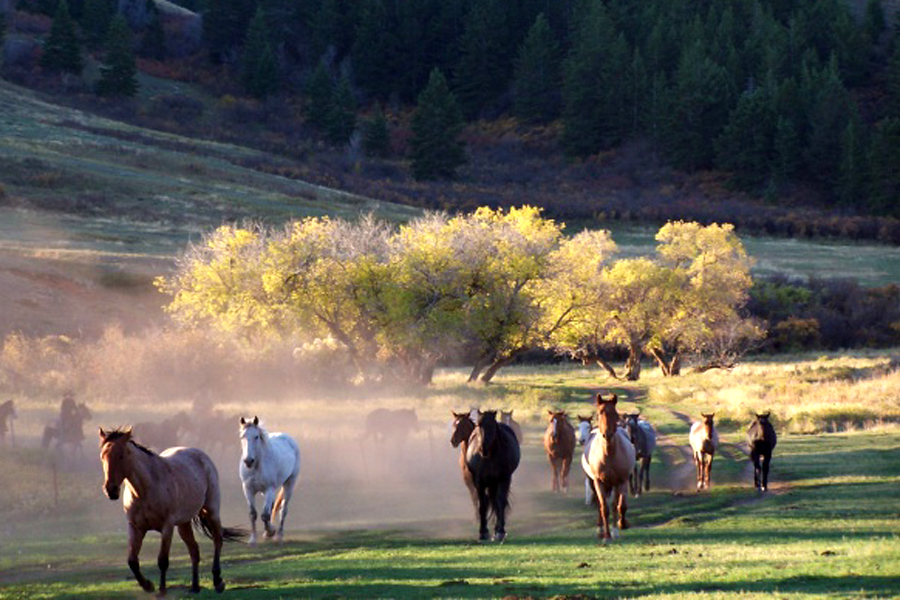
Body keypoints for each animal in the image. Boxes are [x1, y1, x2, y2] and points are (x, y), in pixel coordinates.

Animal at [99, 427, 245, 594]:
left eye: (121, 455)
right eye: (102, 456)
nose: (110, 490)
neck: (145, 489)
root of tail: (201, 455)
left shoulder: (167, 527)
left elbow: (162, 560)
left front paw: (162, 590)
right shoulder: (135, 527)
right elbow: (132, 561)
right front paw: (148, 585)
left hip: (211, 511)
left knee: (217, 540)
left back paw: (218, 581)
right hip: (183, 524)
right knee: (194, 550)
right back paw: (195, 587)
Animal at [239, 416, 301, 546]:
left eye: (256, 436)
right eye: (242, 436)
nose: (248, 461)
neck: (256, 466)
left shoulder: (269, 489)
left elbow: (265, 515)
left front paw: (270, 532)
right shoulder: (248, 489)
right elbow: (253, 514)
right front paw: (253, 540)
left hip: (289, 484)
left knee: (283, 510)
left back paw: (279, 536)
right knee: (273, 507)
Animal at [466, 410, 520, 542]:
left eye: (492, 426)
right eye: (478, 425)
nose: (483, 449)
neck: (489, 457)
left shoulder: (503, 480)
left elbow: (500, 503)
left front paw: (500, 532)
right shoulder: (479, 483)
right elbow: (482, 505)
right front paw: (483, 532)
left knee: (498, 502)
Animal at [581, 393, 636, 540]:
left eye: (615, 414)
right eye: (600, 413)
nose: (607, 435)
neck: (608, 454)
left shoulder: (619, 481)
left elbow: (617, 505)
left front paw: (617, 529)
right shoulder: (599, 482)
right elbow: (604, 508)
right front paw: (606, 534)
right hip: (594, 483)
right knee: (599, 505)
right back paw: (600, 529)